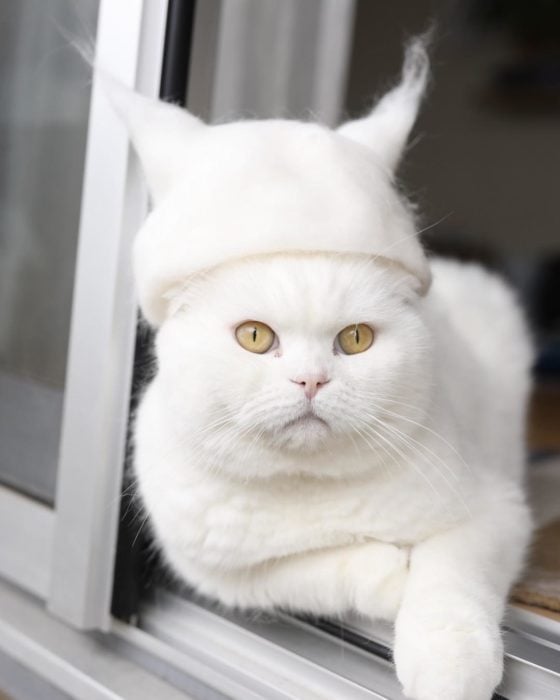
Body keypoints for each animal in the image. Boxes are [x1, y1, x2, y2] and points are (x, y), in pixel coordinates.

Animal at [110, 39, 532, 700]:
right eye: (255, 337)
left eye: (355, 339)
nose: (311, 380)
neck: (309, 489)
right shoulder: (212, 573)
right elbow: (306, 571)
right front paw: (388, 575)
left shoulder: (495, 510)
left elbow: (448, 577)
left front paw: (449, 667)